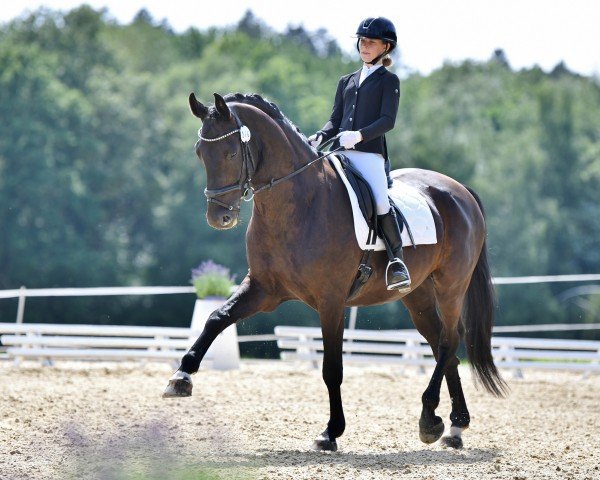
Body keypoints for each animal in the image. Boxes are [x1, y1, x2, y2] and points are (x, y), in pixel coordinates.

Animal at [164, 92, 506, 452]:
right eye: (200, 153)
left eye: (230, 152)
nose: (220, 217)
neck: (297, 204)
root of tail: (460, 191)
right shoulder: (263, 289)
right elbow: (217, 317)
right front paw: (181, 377)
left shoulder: (330, 301)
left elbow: (332, 368)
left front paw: (331, 432)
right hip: (418, 296)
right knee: (443, 345)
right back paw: (454, 426)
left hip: (451, 285)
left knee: (450, 341)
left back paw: (430, 419)